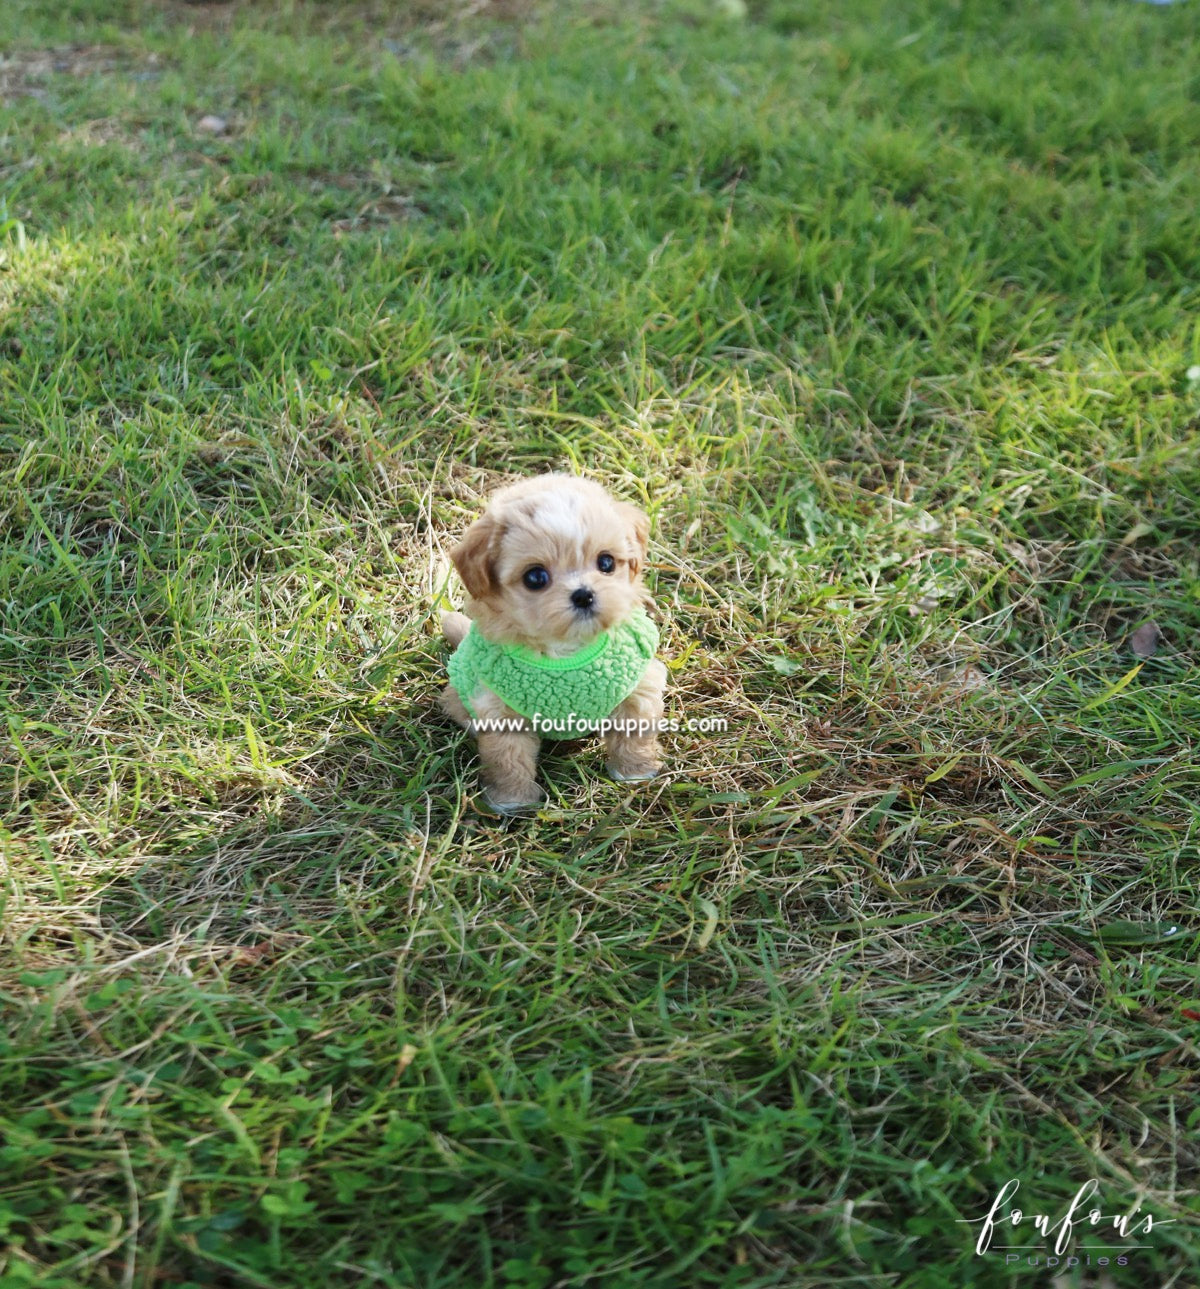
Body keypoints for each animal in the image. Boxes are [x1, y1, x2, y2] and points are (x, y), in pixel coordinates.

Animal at [438, 474, 665, 814]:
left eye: (607, 562)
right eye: (535, 577)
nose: (584, 594)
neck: (567, 651)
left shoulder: (638, 685)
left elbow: (634, 733)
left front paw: (635, 771)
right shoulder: (500, 709)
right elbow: (507, 758)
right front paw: (512, 800)